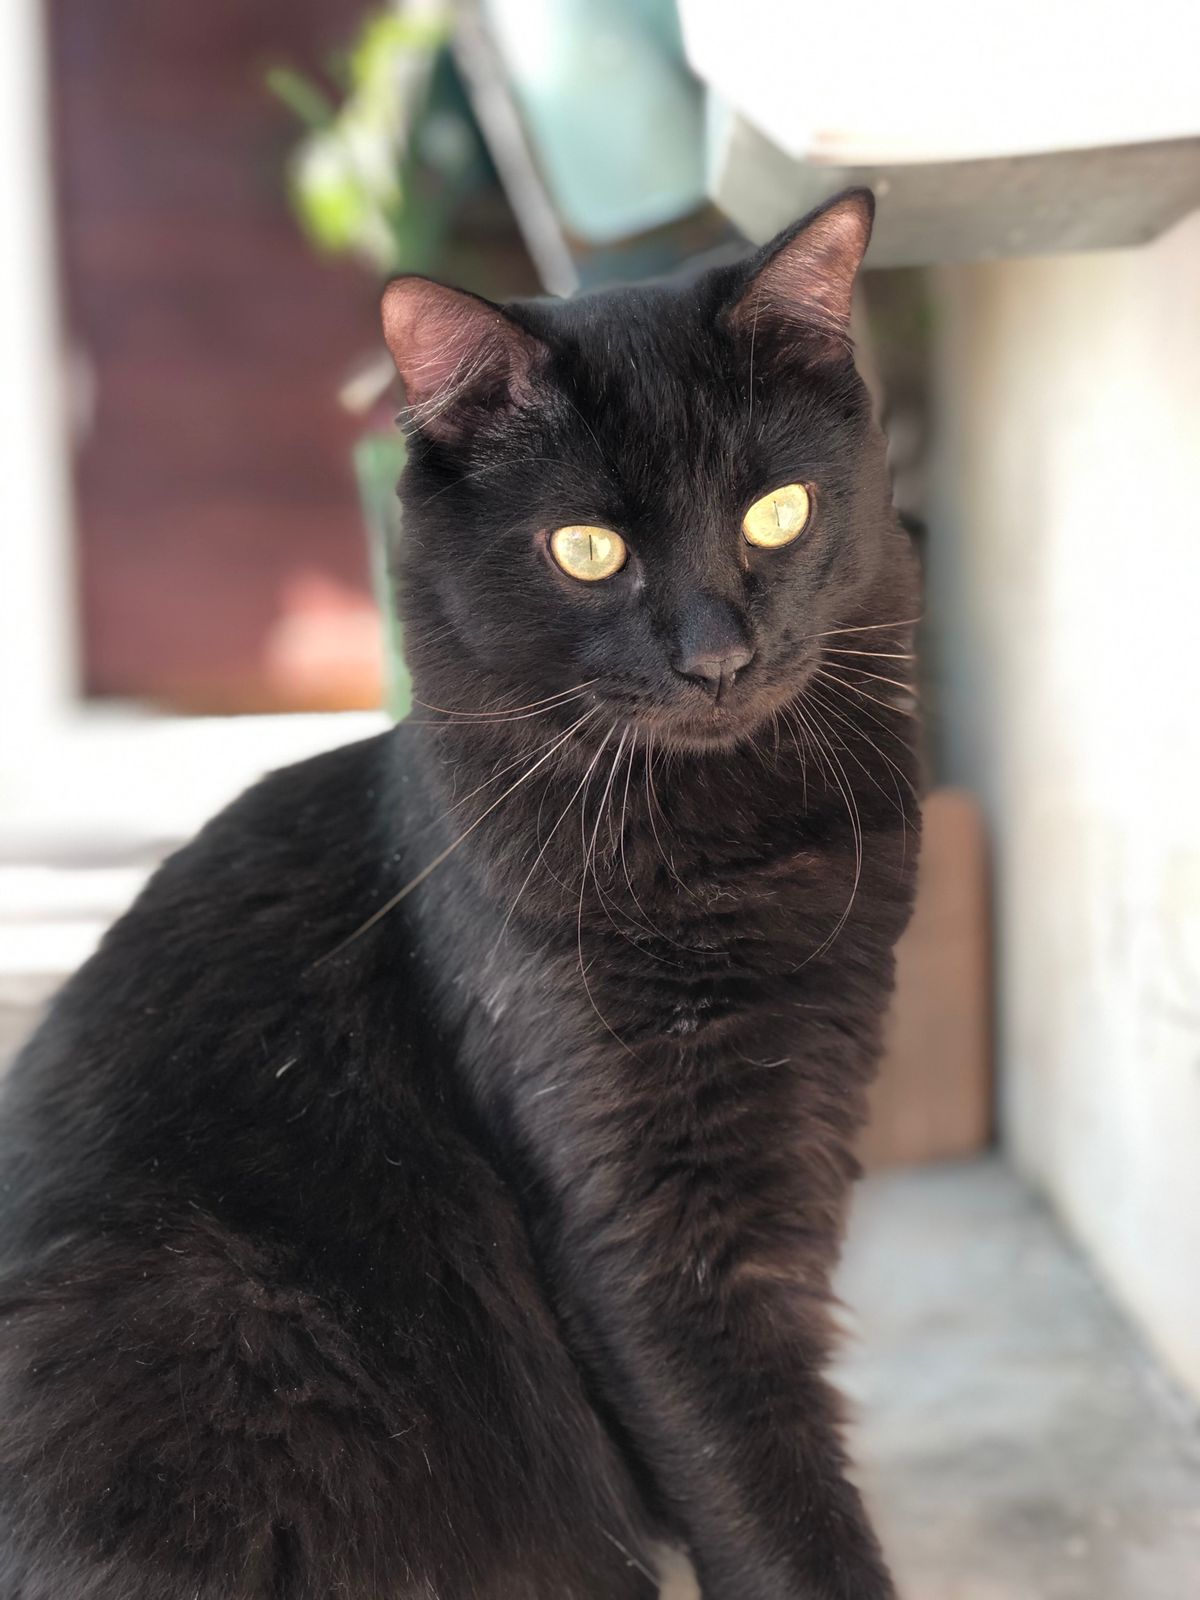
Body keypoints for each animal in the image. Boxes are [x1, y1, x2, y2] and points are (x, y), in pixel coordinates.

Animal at [0, 188, 921, 1599]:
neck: (720, 852)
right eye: (588, 550)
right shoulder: (647, 1221)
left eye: (777, 514)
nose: (718, 656)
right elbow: (757, 1478)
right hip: (222, 1313)